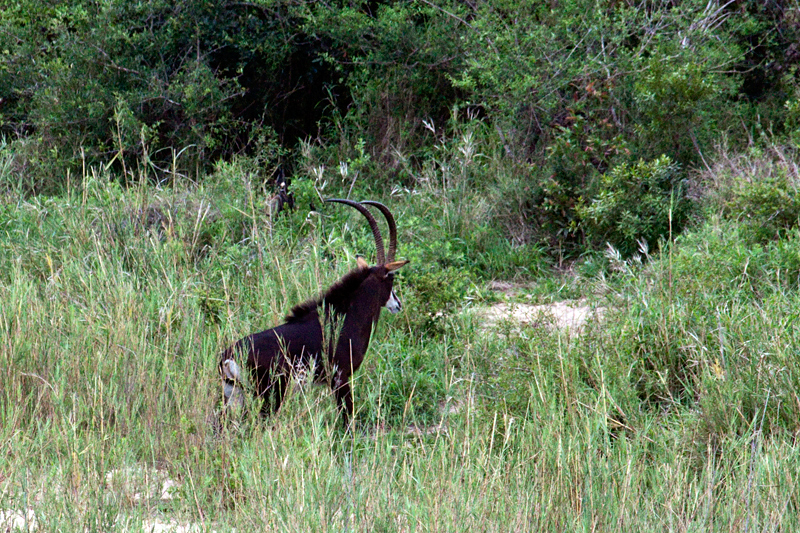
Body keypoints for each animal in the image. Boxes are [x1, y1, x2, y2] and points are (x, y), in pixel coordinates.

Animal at [217, 197, 406, 426]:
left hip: (234, 393)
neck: (345, 318)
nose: (398, 304)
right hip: (271, 393)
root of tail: (229, 356)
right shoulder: (340, 378)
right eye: (391, 279)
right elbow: (347, 418)